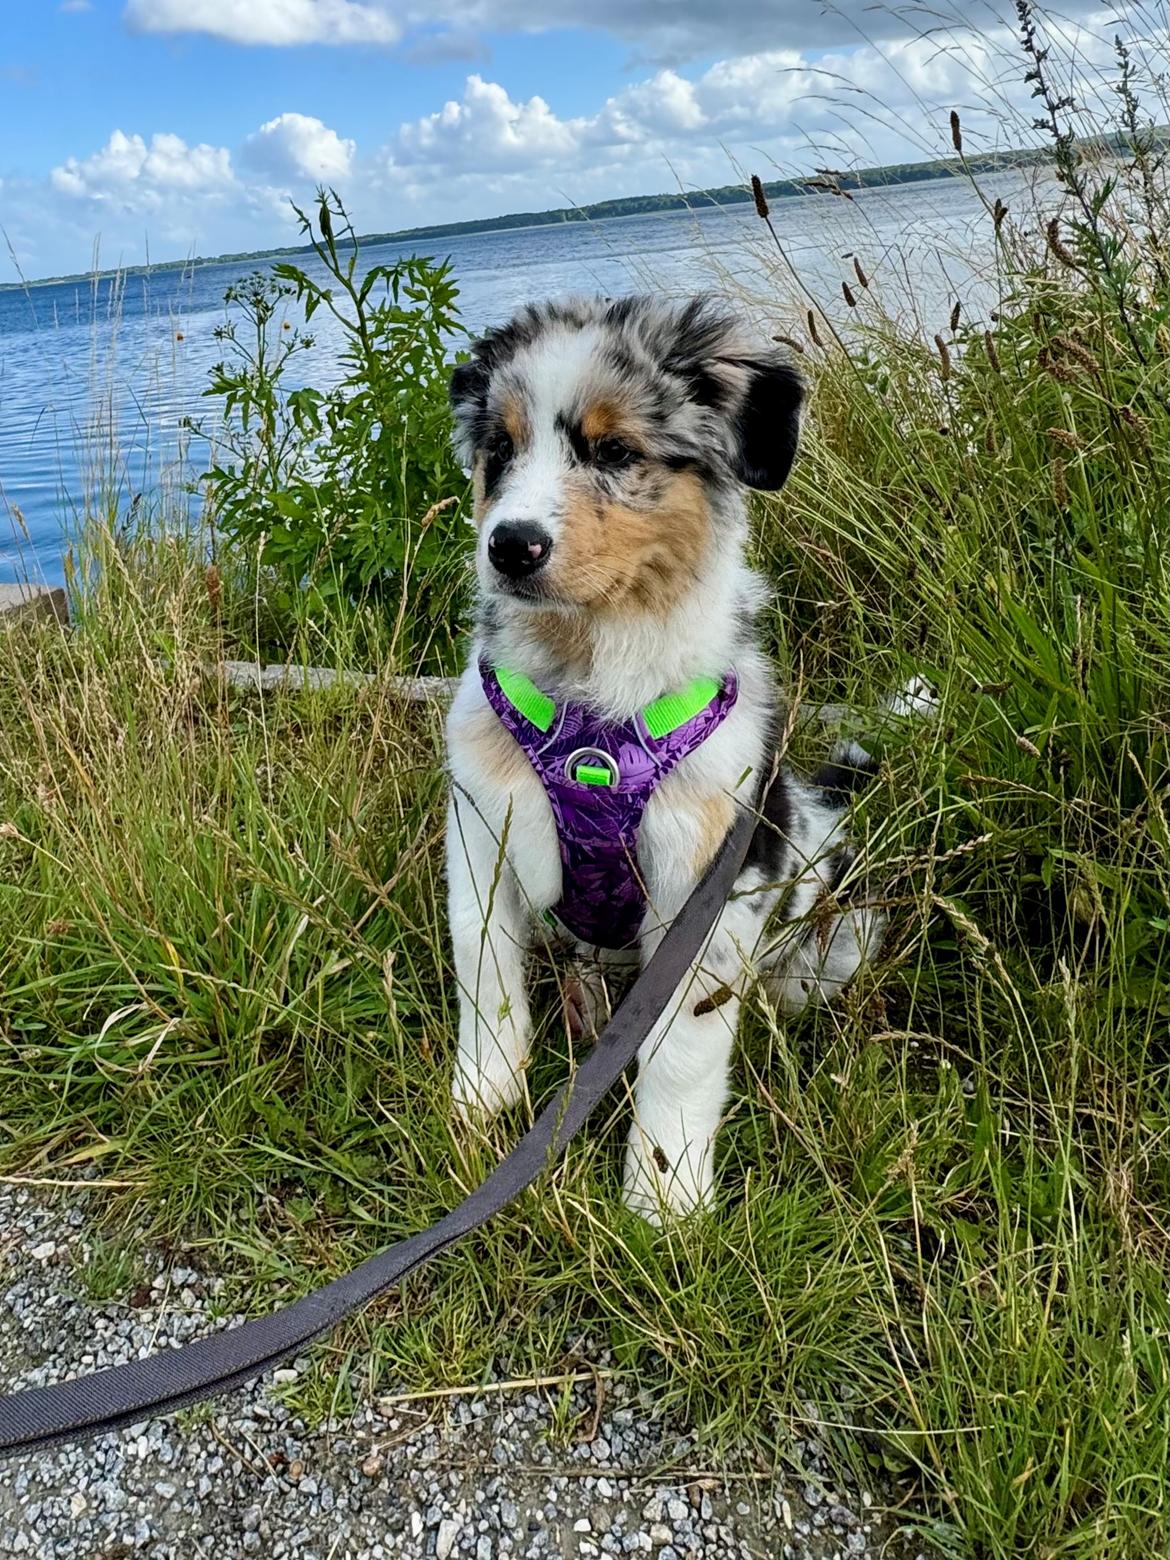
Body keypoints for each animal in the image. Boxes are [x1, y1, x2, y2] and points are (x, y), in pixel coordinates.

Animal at [443, 293, 892, 1216]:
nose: (510, 546)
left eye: (614, 451)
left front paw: (665, 1198)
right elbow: (486, 974)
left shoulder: (704, 881)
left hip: (830, 946)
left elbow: (683, 1055)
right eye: (499, 451)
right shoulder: (478, 831)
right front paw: (484, 1102)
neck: (593, 706)